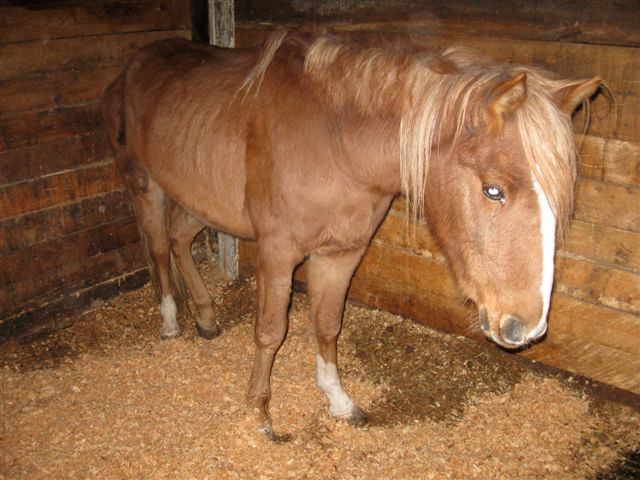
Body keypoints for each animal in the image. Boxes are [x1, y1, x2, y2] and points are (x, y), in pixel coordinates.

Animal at [102, 28, 601, 438]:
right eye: (493, 190)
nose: (526, 326)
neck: (335, 142)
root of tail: (134, 64)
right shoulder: (277, 252)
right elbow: (270, 332)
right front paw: (259, 413)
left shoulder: (342, 252)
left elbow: (327, 325)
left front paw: (338, 400)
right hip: (145, 185)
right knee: (158, 248)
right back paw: (171, 321)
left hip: (200, 199)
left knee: (178, 240)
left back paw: (205, 317)